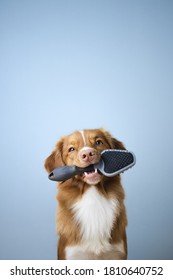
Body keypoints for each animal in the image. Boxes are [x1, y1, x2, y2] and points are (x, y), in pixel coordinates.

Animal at [44, 128, 127, 260]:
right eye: (71, 149)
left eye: (98, 142)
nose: (88, 154)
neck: (93, 196)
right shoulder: (72, 254)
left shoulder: (117, 253)